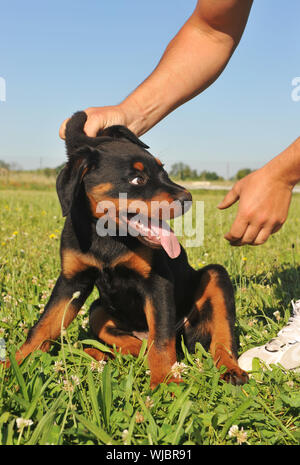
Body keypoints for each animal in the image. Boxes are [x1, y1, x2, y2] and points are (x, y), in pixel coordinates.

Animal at [11, 110, 248, 386]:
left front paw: (165, 382)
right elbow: (44, 325)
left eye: (164, 171)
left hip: (215, 277)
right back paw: (102, 353)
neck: (108, 237)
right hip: (98, 309)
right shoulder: (71, 281)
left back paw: (230, 369)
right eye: (137, 179)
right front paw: (14, 366)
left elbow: (161, 339)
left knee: (218, 336)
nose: (187, 199)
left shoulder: (157, 282)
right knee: (129, 341)